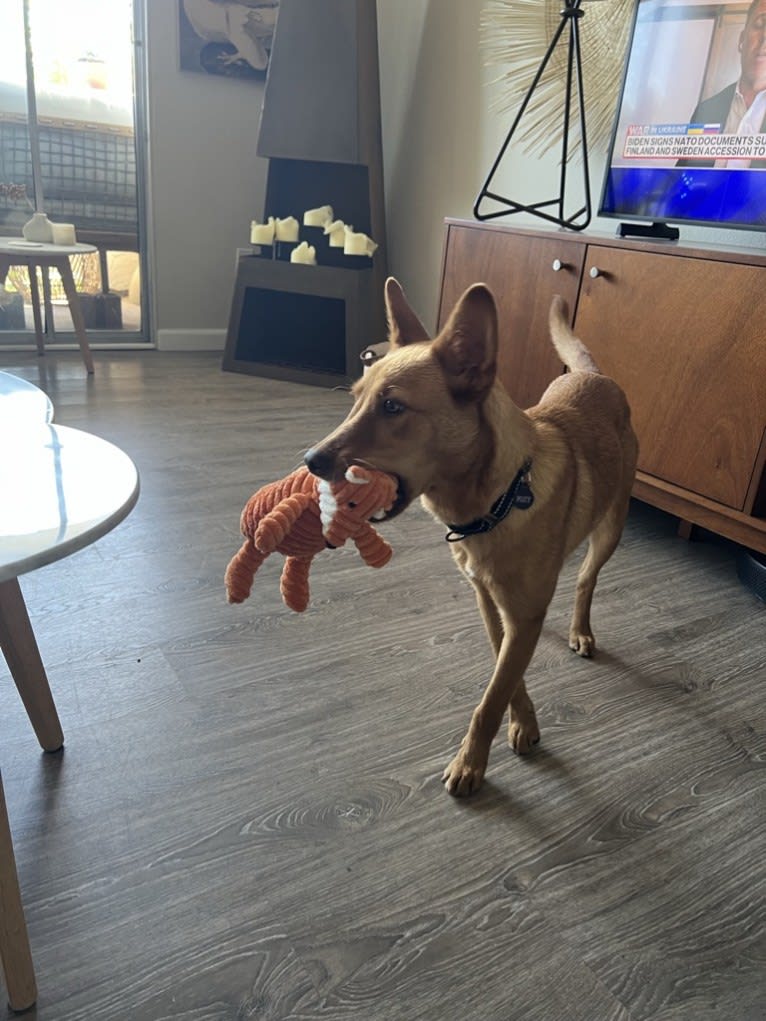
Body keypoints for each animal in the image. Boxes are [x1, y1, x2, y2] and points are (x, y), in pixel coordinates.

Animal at [306, 279, 641, 796]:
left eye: (392, 406)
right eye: (356, 397)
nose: (310, 461)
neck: (496, 502)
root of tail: (594, 377)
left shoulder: (519, 612)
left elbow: (490, 698)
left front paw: (470, 764)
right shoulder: (489, 602)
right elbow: (505, 675)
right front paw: (524, 721)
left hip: (612, 526)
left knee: (587, 579)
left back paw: (580, 629)